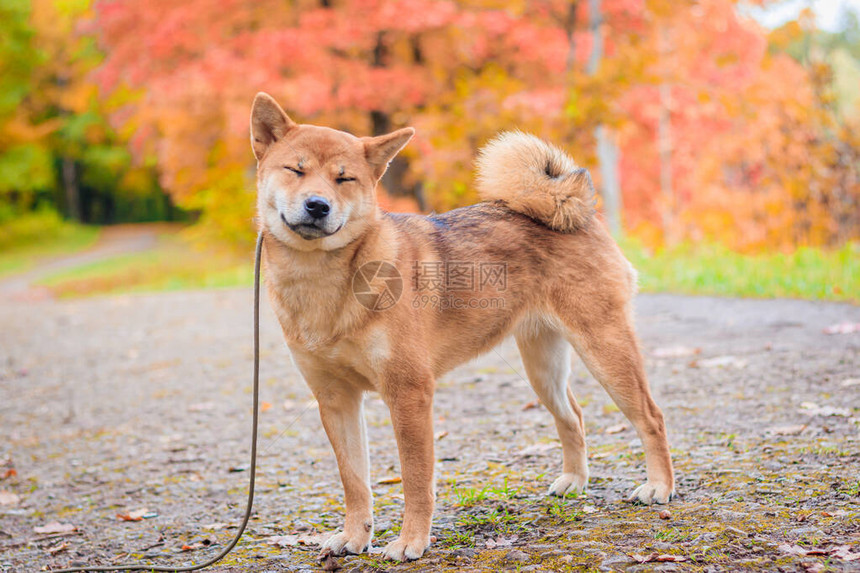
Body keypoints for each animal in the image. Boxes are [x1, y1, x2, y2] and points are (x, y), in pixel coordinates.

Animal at [249, 91, 672, 560]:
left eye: (345, 179)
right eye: (297, 170)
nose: (317, 205)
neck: (324, 282)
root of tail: (575, 212)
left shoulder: (409, 393)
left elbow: (416, 481)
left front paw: (411, 541)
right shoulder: (336, 399)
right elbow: (354, 481)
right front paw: (355, 536)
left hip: (605, 351)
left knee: (651, 417)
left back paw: (659, 487)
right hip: (543, 368)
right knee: (573, 417)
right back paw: (575, 482)